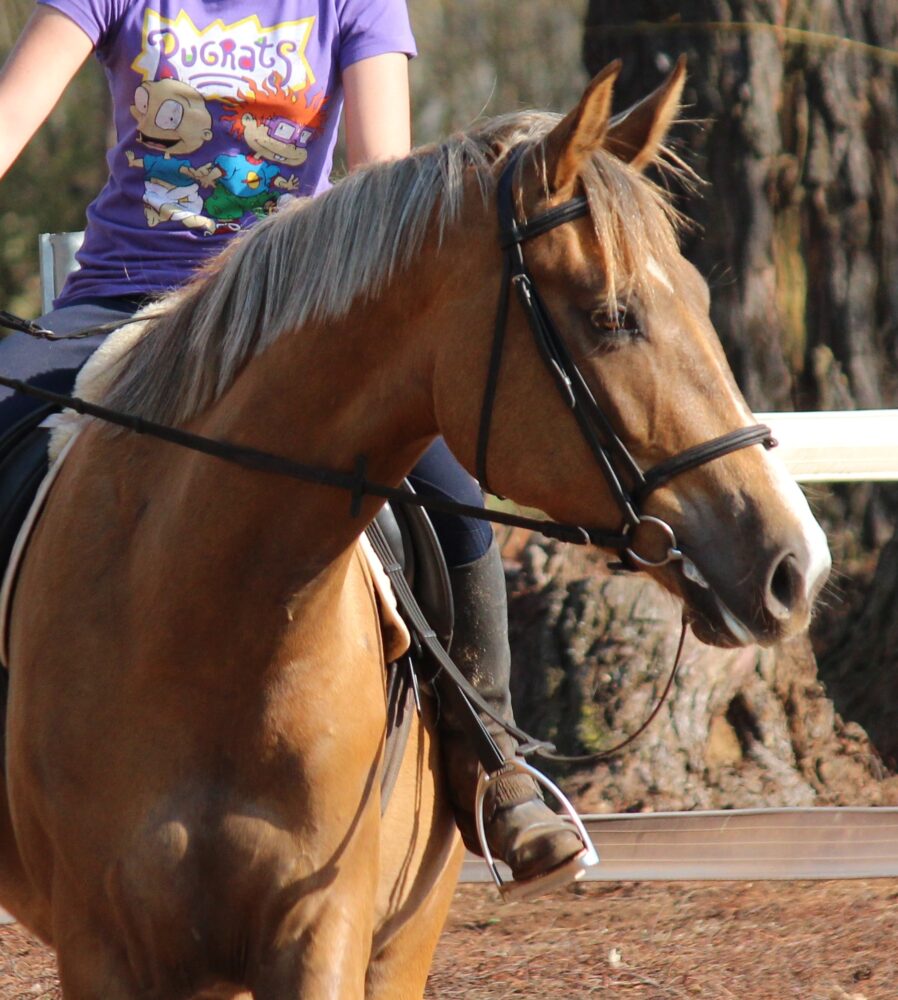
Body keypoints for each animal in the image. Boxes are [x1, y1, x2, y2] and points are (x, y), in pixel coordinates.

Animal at [0, 62, 824, 1000]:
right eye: (612, 317)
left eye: (698, 296)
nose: (795, 566)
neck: (200, 611)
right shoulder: (101, 949)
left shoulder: (323, 934)